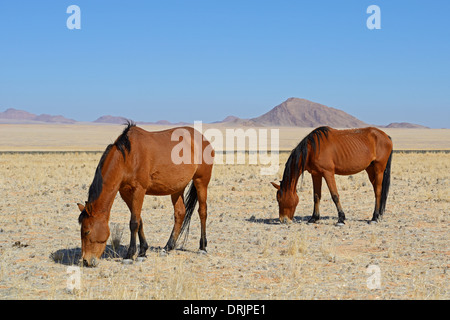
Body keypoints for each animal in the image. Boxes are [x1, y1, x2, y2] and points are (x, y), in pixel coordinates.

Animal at [76, 121, 214, 266]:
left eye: (87, 231)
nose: (86, 261)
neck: (128, 157)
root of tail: (203, 139)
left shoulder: (139, 190)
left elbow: (134, 222)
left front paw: (129, 255)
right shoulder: (125, 193)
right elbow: (139, 220)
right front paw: (142, 251)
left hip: (201, 181)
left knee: (202, 211)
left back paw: (202, 247)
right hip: (177, 188)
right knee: (180, 213)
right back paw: (167, 247)